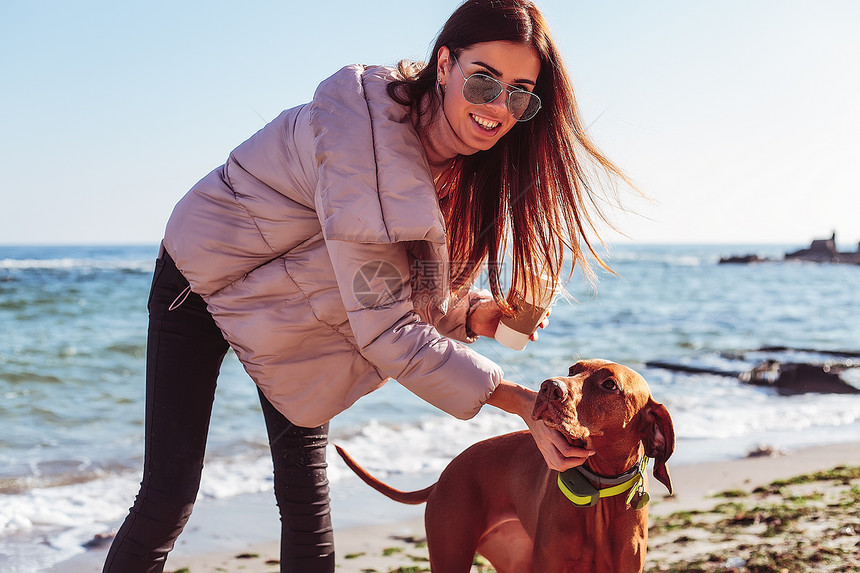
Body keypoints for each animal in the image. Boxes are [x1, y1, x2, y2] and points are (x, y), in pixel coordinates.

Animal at [332, 360, 676, 568]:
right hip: (451, 553)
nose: (549, 386)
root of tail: (444, 475)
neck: (599, 489)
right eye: (573, 368)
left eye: (609, 385)